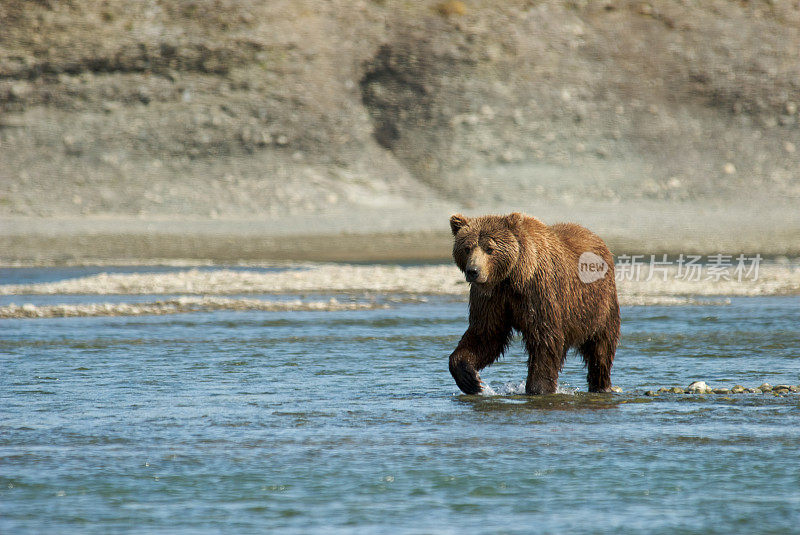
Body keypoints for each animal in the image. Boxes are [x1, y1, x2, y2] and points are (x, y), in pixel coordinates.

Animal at [450, 213, 620, 394]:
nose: (473, 271)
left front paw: (538, 388)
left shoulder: (538, 292)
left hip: (599, 305)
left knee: (601, 348)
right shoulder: (491, 298)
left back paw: (601, 386)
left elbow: (544, 338)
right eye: (467, 248)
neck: (510, 278)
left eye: (490, 248)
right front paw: (471, 379)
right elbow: (485, 334)